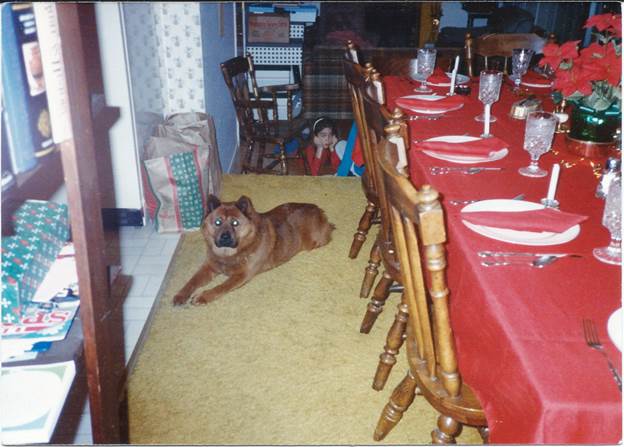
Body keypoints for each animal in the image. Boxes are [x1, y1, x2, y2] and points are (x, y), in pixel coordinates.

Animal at [173, 194, 334, 306]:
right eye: (217, 222)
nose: (225, 237)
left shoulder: (241, 276)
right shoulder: (208, 267)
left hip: (314, 242)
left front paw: (203, 296)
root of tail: (319, 210)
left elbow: (220, 287)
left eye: (235, 223)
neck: (229, 255)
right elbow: (192, 281)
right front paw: (181, 295)